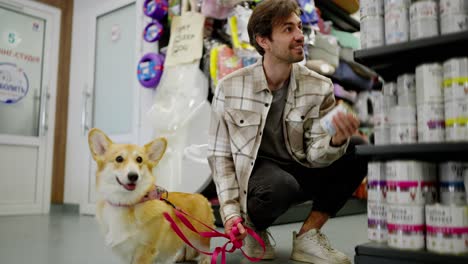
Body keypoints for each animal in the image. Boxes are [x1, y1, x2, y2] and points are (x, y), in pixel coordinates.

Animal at [88, 127, 214, 262]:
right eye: (119, 159)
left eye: (139, 159)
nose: (133, 176)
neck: (127, 203)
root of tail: (203, 198)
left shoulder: (145, 250)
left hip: (200, 238)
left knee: (205, 251)